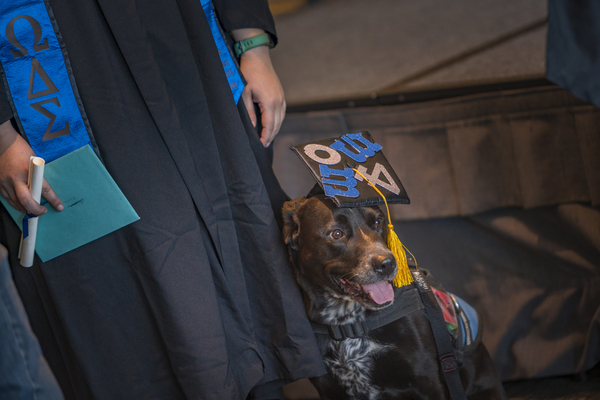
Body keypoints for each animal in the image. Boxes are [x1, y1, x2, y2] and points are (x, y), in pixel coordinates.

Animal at [282, 195, 506, 400]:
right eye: (336, 233)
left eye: (377, 222)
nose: (388, 263)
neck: (350, 322)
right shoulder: (330, 391)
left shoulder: (431, 381)